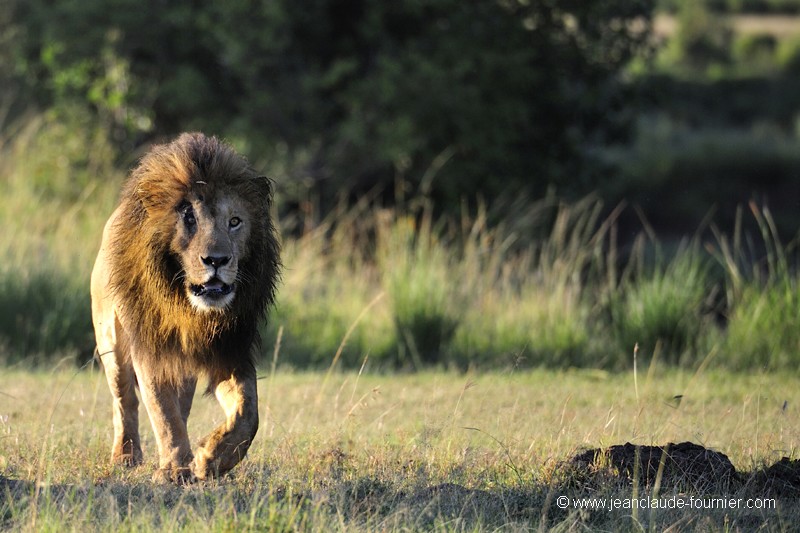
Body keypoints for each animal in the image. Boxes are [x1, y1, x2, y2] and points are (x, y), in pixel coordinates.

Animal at [91, 133, 282, 482]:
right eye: (189, 219)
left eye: (235, 222)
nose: (216, 260)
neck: (192, 312)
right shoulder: (151, 349)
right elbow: (163, 413)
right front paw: (176, 470)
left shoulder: (229, 349)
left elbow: (248, 412)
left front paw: (212, 458)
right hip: (111, 341)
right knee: (125, 401)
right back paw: (125, 455)